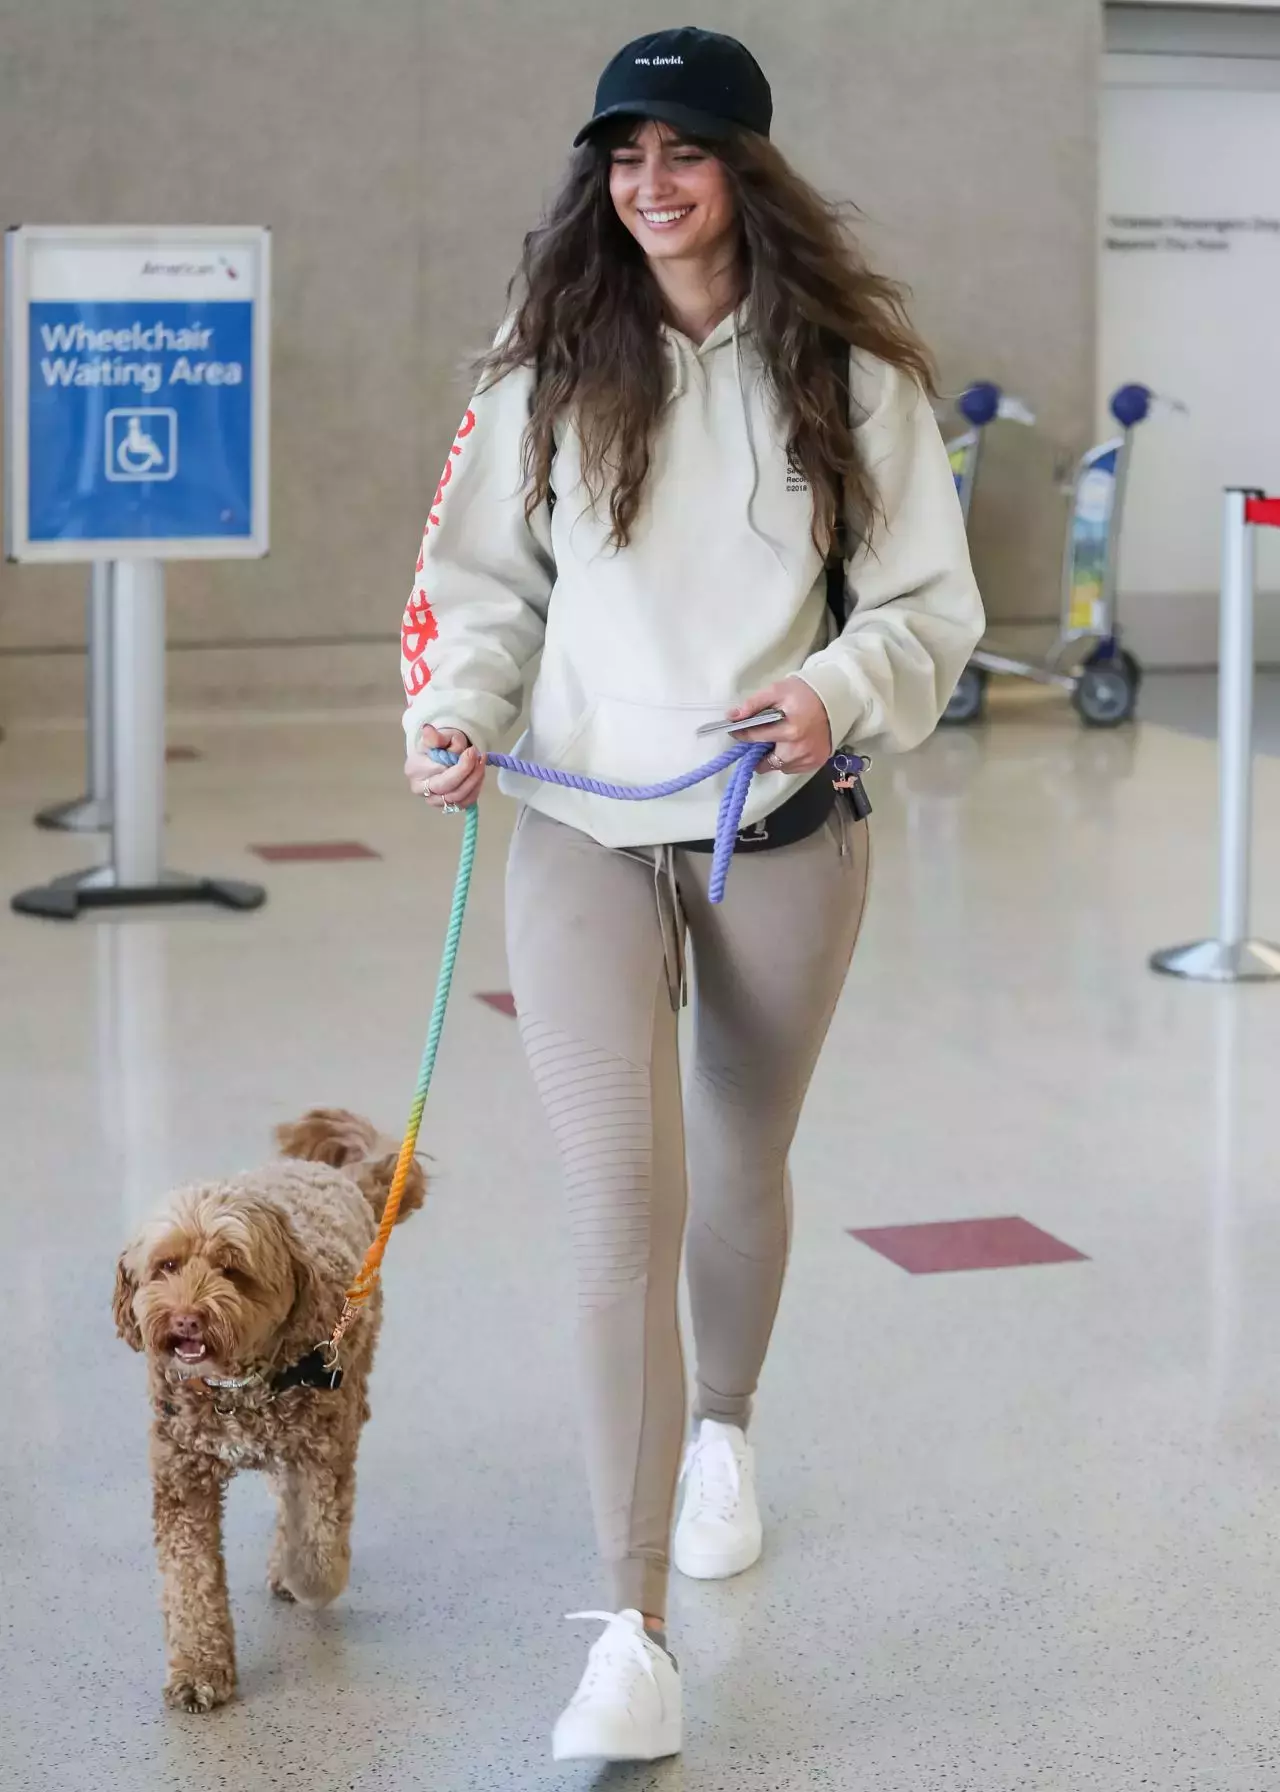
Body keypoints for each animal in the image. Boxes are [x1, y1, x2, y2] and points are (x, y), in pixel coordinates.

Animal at [112, 1103, 421, 1705]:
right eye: (166, 1266)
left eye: (232, 1270)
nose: (186, 1319)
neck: (233, 1387)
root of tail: (333, 1174)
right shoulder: (182, 1480)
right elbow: (191, 1582)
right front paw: (199, 1671)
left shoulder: (322, 1450)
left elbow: (320, 1535)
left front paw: (309, 1578)